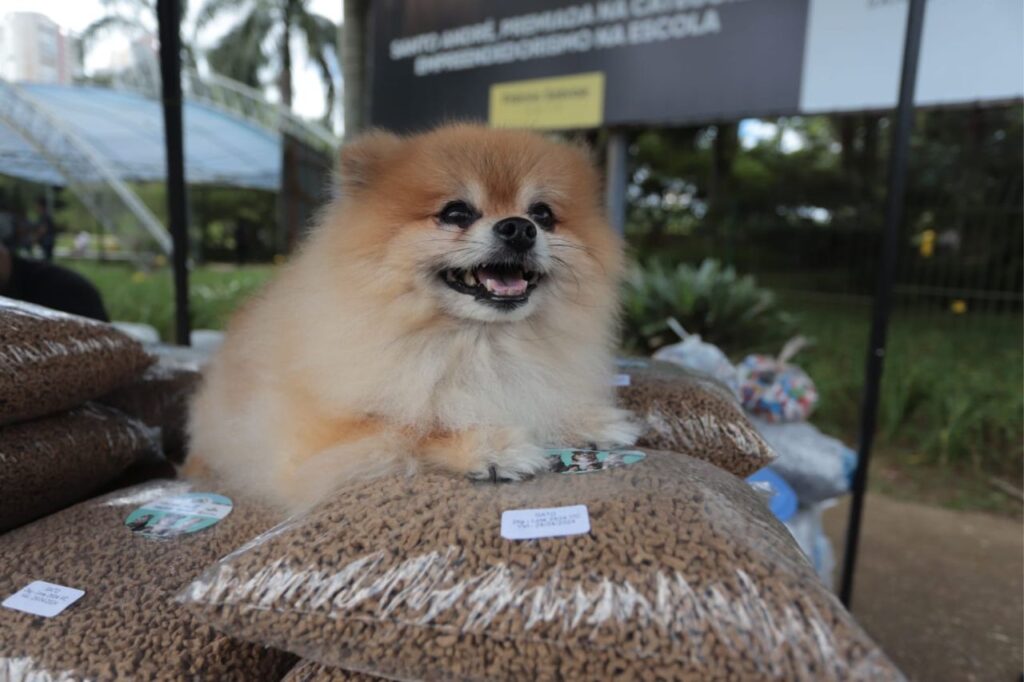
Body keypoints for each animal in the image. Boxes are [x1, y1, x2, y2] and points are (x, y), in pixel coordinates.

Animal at [182, 124, 630, 512]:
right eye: (456, 213)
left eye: (543, 214)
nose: (520, 228)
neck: (478, 343)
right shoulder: (316, 444)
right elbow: (413, 427)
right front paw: (491, 444)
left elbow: (541, 400)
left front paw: (587, 419)